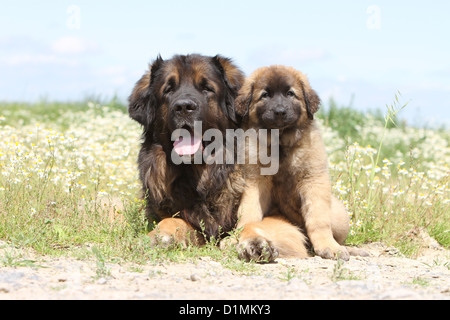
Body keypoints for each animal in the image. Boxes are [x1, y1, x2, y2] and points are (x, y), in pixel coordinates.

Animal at [232, 66, 366, 262]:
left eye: (290, 93)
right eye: (265, 95)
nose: (280, 111)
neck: (281, 142)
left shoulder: (313, 179)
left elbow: (319, 220)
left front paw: (328, 246)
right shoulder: (254, 179)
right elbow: (249, 212)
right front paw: (242, 237)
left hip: (339, 216)